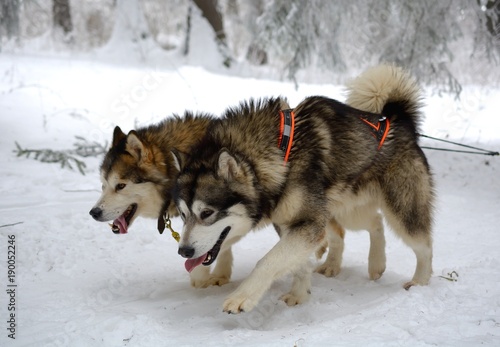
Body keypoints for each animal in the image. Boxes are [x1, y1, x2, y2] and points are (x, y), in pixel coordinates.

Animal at [174, 64, 436, 314]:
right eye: (183, 215)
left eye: (207, 213)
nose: (184, 251)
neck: (279, 157)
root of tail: (398, 120)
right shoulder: (291, 223)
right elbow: (297, 264)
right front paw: (299, 295)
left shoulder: (306, 224)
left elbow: (268, 261)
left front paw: (242, 296)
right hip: (343, 210)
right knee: (371, 223)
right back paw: (367, 263)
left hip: (400, 211)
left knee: (423, 245)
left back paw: (420, 282)